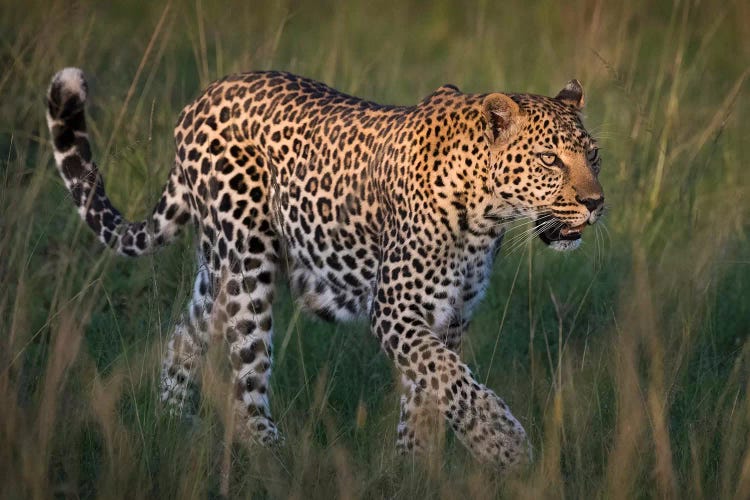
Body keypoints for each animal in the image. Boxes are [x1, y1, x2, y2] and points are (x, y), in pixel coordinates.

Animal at [45, 68, 604, 470]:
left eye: (594, 155)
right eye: (550, 160)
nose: (596, 203)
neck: (487, 214)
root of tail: (199, 101)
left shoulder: (450, 317)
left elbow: (431, 388)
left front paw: (414, 466)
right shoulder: (396, 310)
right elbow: (451, 379)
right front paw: (501, 444)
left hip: (220, 266)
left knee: (185, 333)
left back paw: (171, 425)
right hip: (247, 266)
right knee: (243, 387)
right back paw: (279, 462)